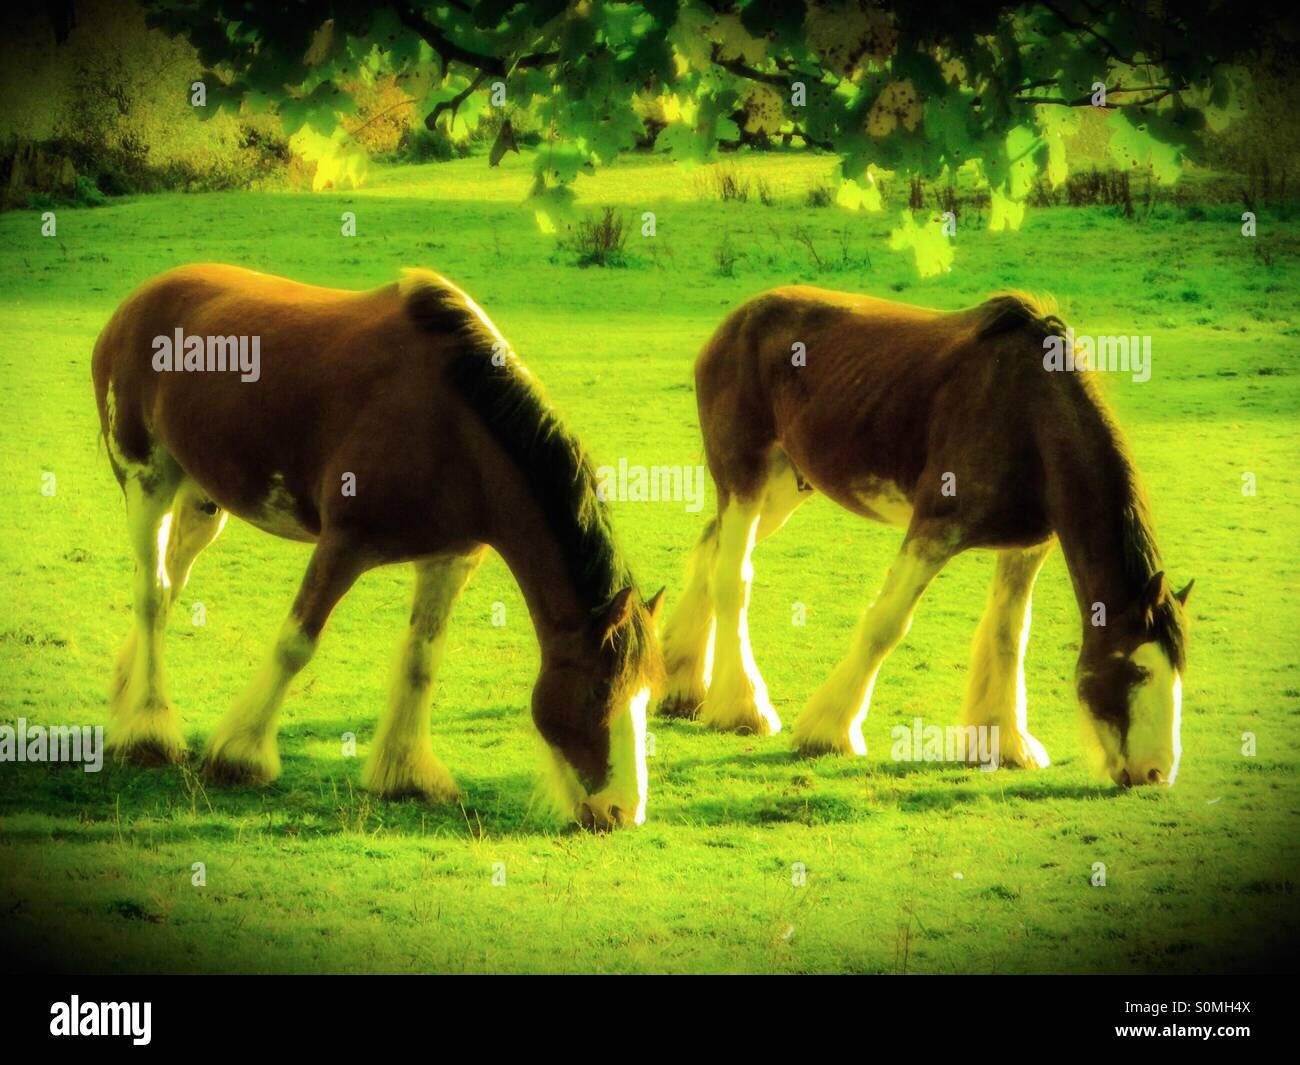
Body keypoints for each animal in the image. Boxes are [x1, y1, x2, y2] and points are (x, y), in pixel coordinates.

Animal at [92, 264, 662, 829]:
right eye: (599, 689)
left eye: (647, 692)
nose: (622, 810)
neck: (451, 426)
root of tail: (139, 299)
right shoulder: (344, 545)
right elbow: (295, 644)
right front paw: (241, 753)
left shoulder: (449, 560)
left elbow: (421, 660)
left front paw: (405, 773)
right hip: (147, 480)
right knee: (151, 594)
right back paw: (149, 728)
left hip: (201, 502)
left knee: (169, 586)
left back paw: (128, 692)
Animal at [657, 287, 1192, 787]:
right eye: (1138, 669)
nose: (1155, 773)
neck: (1027, 410)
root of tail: (738, 320)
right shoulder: (934, 527)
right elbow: (886, 625)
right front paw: (828, 731)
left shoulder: (1026, 547)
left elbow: (1008, 633)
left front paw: (1004, 742)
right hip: (745, 478)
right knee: (732, 577)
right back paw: (743, 707)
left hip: (783, 487)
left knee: (709, 554)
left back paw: (682, 684)